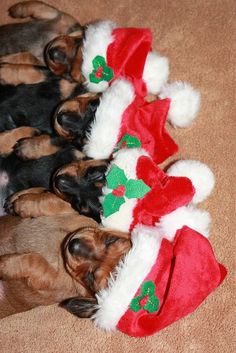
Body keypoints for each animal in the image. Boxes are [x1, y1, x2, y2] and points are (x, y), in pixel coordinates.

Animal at [0, 213, 131, 318]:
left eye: (91, 277)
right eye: (111, 240)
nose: (74, 245)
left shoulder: (49, 279)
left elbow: (35, 260)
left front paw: (3, 265)